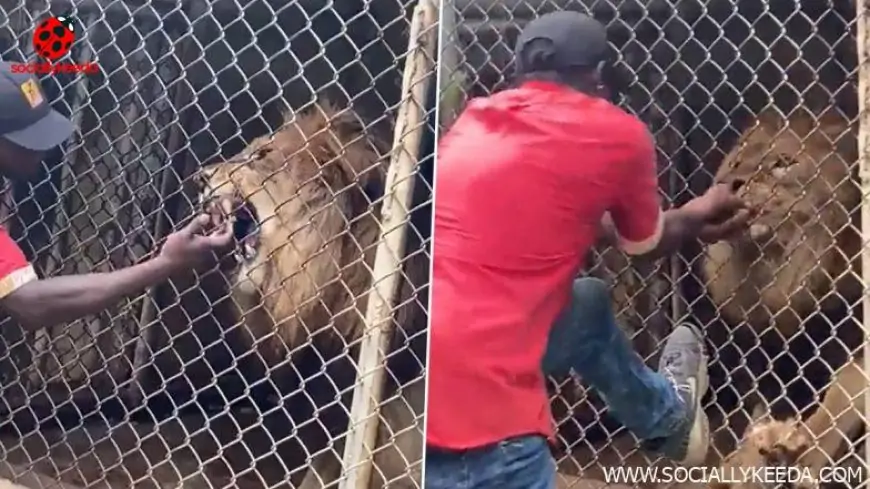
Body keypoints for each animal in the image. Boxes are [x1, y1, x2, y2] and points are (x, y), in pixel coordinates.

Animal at [700, 106, 864, 476]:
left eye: (782, 163)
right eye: (736, 162)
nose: (730, 184)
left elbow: (838, 404)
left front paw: (803, 456)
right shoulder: (768, 352)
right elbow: (761, 412)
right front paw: (742, 461)